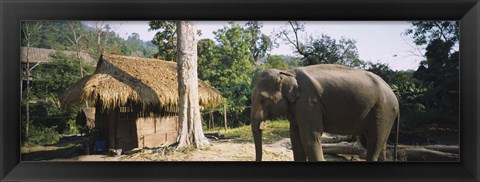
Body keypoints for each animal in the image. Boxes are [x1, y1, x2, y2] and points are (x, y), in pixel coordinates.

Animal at [249, 64, 400, 161]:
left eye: (263, 99)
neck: (287, 72)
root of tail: (396, 98)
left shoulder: (309, 102)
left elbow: (310, 137)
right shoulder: (298, 107)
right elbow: (295, 137)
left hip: (383, 111)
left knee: (374, 142)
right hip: (383, 114)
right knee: (378, 143)